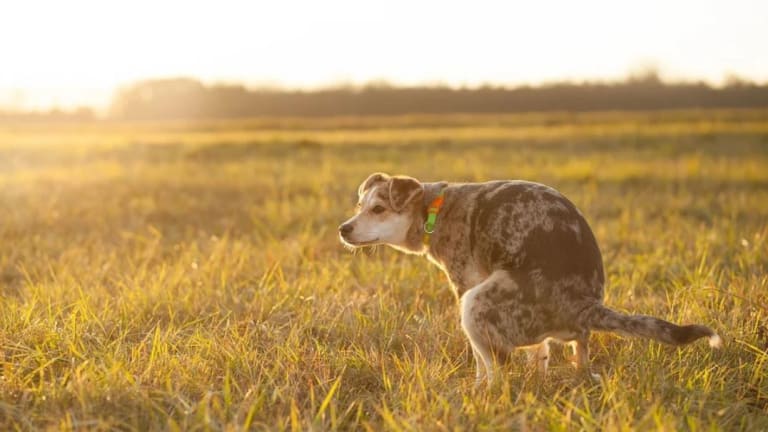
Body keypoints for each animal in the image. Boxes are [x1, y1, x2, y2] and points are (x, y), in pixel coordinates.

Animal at [340, 172, 724, 384]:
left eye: (378, 209)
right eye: (359, 206)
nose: (343, 229)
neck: (433, 208)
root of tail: (585, 305)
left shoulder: (465, 285)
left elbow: (481, 363)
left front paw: (477, 389)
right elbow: (540, 354)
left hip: (476, 303)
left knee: (498, 371)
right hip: (566, 336)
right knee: (578, 357)